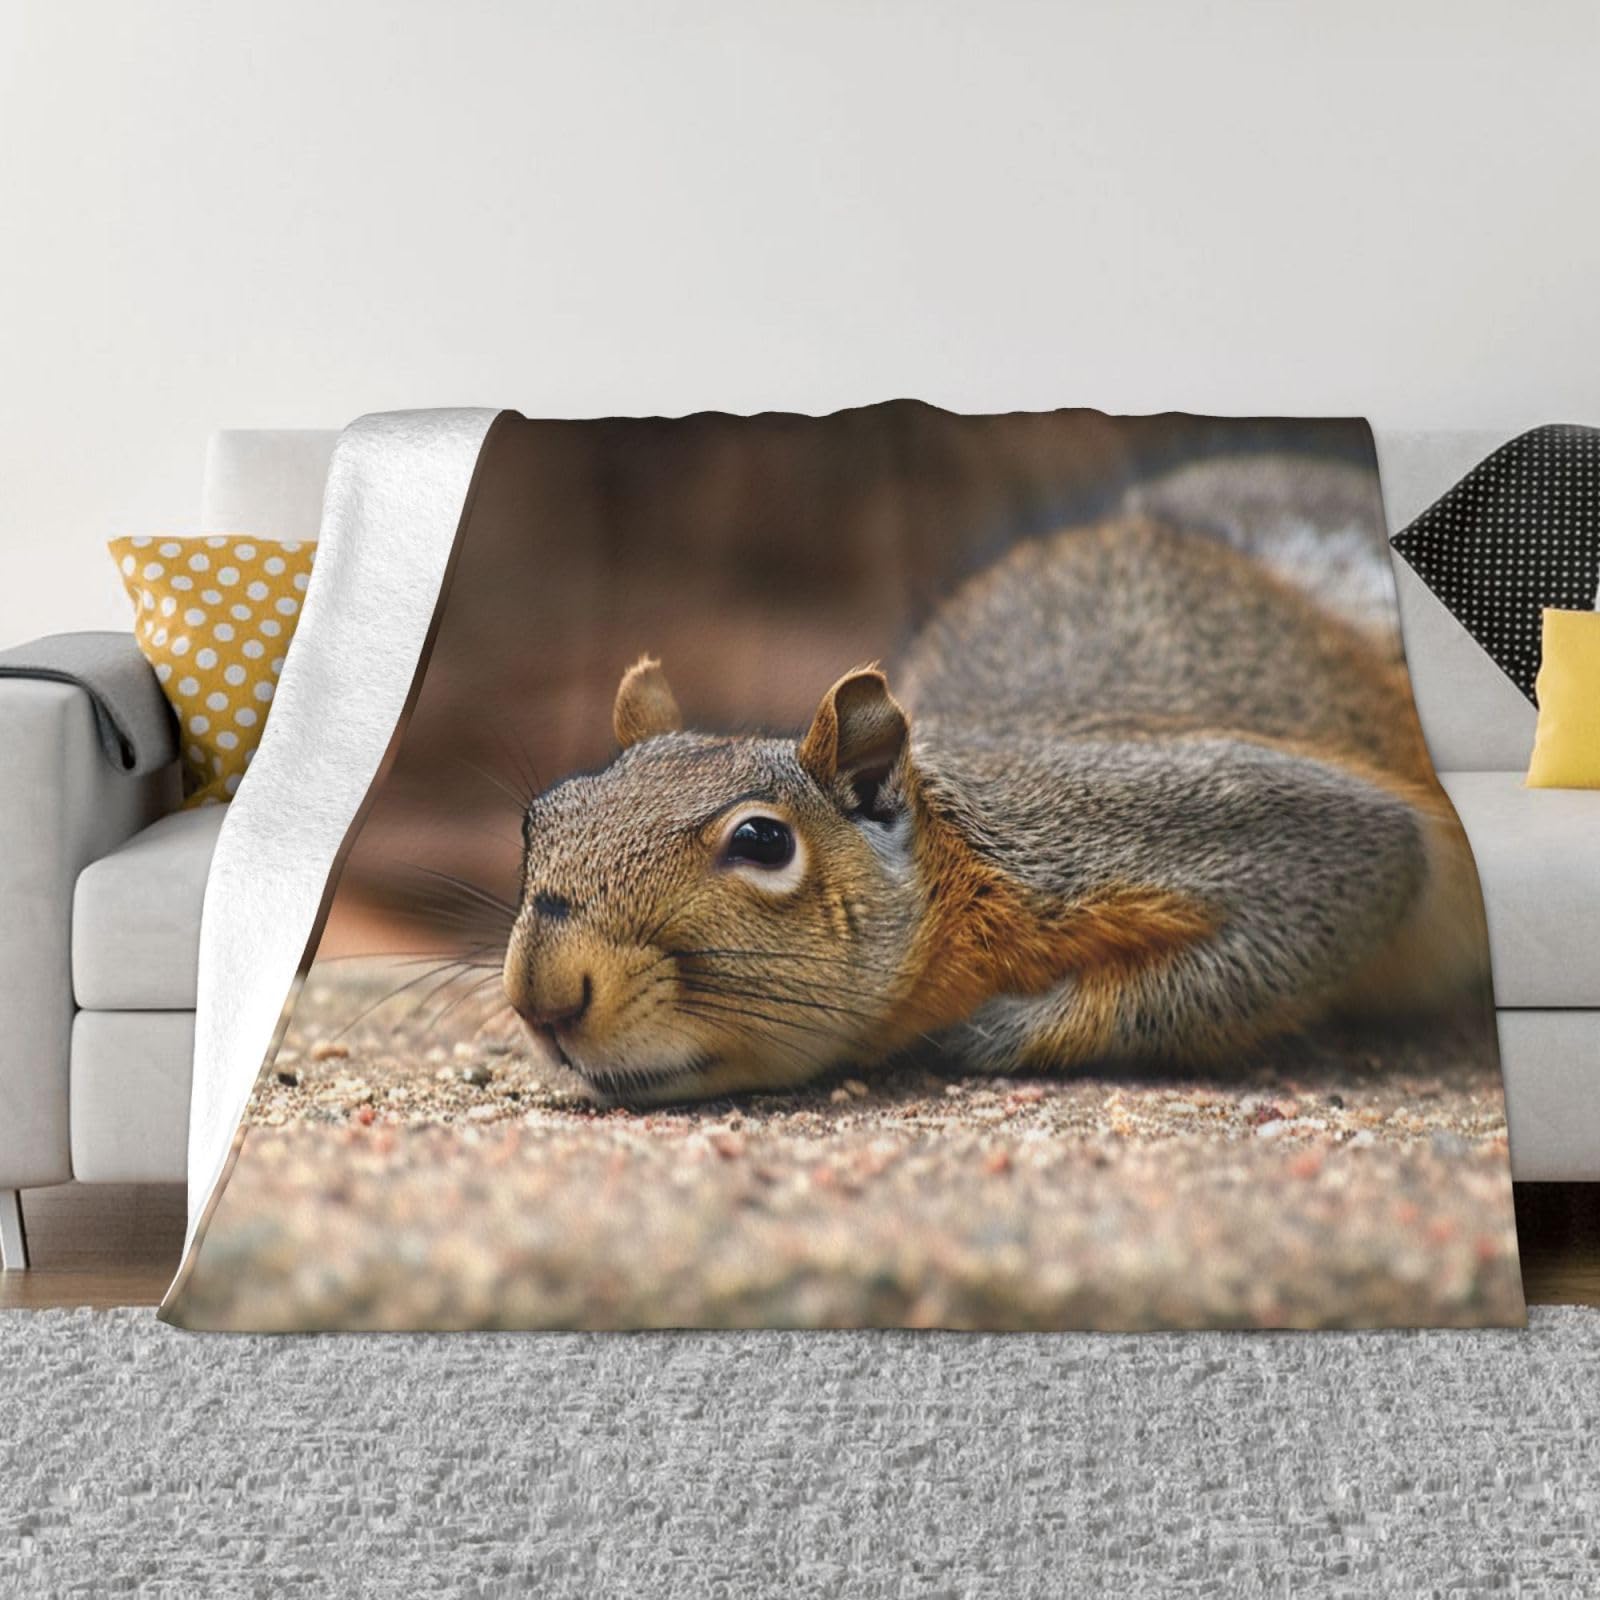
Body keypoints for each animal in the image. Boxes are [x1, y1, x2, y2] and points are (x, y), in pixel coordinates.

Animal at [502, 457, 1485, 1103]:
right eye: (538, 818)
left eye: (763, 840)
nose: (541, 996)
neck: (959, 861)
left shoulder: (1153, 823)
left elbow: (1336, 887)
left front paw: (987, 1031)